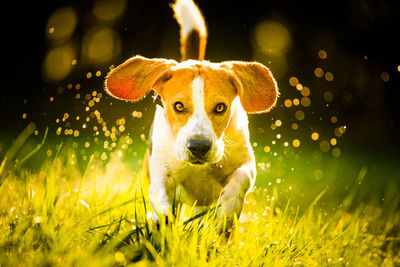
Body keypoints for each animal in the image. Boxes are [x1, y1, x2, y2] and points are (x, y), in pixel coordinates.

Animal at [104, 0, 278, 228]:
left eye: (220, 107)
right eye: (178, 106)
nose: (199, 147)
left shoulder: (246, 162)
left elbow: (242, 177)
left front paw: (227, 210)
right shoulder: (160, 174)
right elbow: (161, 199)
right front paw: (164, 225)